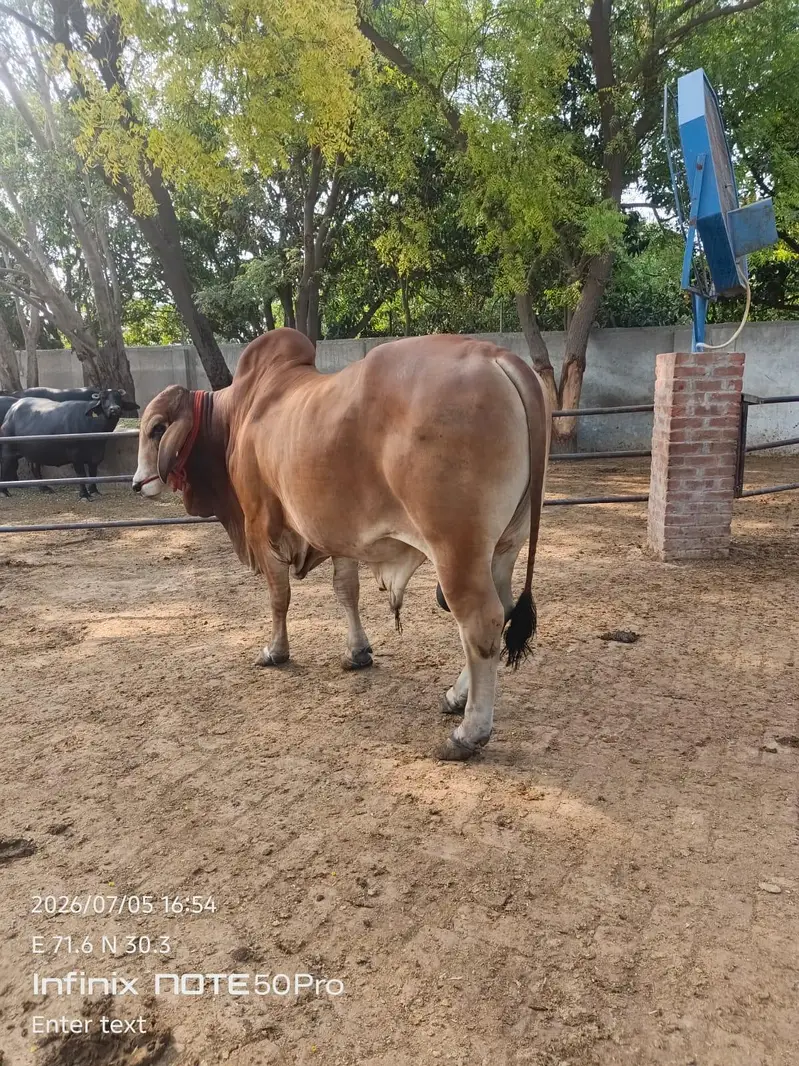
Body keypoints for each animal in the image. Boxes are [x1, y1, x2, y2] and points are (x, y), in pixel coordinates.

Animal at [1, 389, 138, 500]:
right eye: (104, 398)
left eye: (119, 398)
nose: (114, 409)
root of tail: (12, 410)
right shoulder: (76, 455)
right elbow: (81, 475)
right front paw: (84, 495)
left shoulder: (96, 454)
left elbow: (93, 472)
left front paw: (94, 491)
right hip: (7, 450)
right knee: (5, 465)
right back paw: (4, 492)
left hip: (34, 451)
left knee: (34, 467)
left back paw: (45, 488)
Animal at [133, 329, 550, 760]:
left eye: (157, 428)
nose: (137, 483)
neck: (237, 418)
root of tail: (495, 354)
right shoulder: (339, 536)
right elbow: (346, 591)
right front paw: (357, 652)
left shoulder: (263, 526)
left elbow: (278, 598)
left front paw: (275, 652)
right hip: (504, 546)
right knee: (503, 610)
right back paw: (455, 696)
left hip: (457, 550)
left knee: (481, 621)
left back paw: (468, 732)